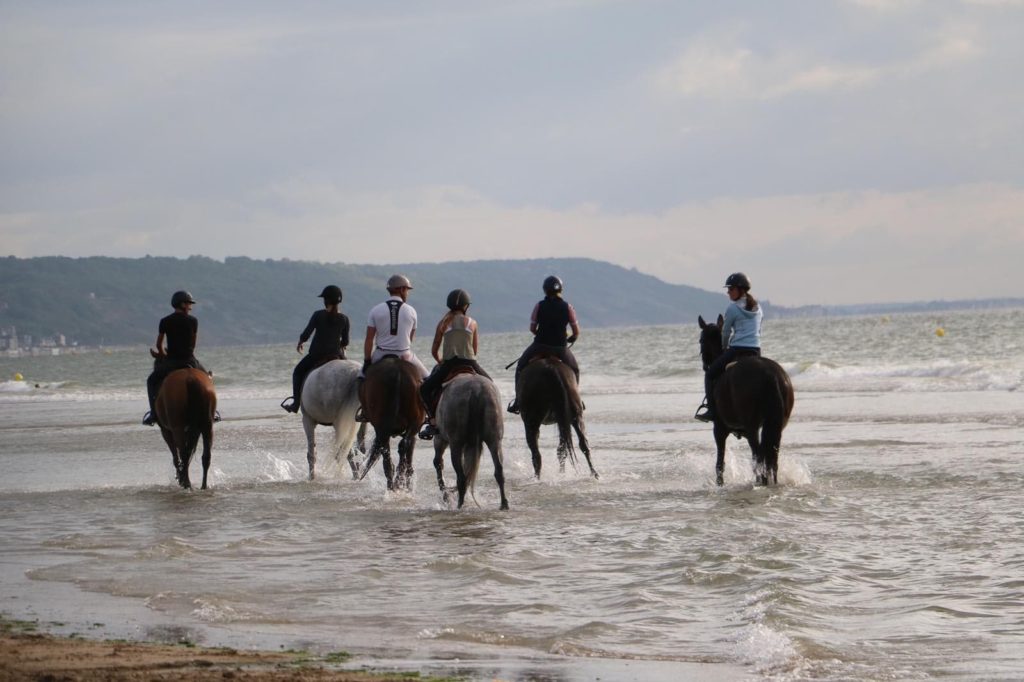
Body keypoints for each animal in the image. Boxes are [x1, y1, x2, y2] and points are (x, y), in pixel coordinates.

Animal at [358, 356, 425, 489]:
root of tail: (398, 374)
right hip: (414, 423)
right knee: (402, 445)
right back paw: (398, 479)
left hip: (383, 426)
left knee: (389, 451)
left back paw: (394, 482)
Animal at [432, 372, 507, 509]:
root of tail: (476, 391)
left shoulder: (440, 439)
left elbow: (438, 462)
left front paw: (445, 495)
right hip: (494, 441)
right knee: (499, 471)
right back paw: (504, 504)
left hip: (455, 444)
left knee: (461, 477)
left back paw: (459, 506)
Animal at [700, 313, 794, 483]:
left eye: (701, 340)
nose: (705, 366)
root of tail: (770, 375)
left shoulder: (719, 429)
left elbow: (719, 464)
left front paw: (719, 484)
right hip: (776, 426)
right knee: (771, 459)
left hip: (752, 428)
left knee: (759, 456)